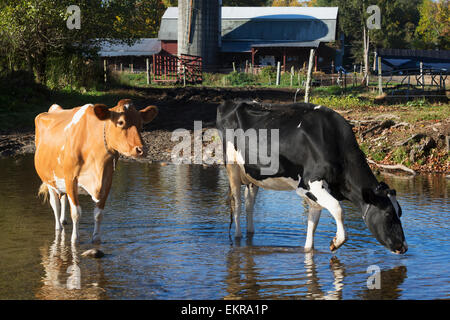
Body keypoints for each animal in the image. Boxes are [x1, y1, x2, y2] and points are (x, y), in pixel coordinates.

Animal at [33, 99, 156, 244]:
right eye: (121, 122)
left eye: (141, 123)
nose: (141, 150)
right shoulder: (70, 178)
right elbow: (76, 213)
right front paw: (75, 239)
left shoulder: (107, 181)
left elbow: (98, 213)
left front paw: (96, 238)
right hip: (49, 180)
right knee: (55, 204)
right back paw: (58, 227)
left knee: (63, 198)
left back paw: (63, 221)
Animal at [217, 101, 408, 254]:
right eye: (388, 214)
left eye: (400, 212)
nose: (403, 247)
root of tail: (231, 104)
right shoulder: (312, 182)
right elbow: (338, 209)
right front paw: (337, 242)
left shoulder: (312, 193)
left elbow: (313, 223)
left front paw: (309, 249)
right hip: (232, 168)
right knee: (237, 204)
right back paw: (238, 237)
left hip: (253, 175)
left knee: (249, 204)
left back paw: (250, 233)